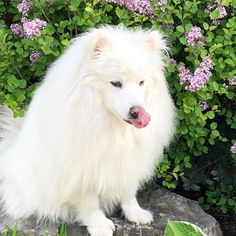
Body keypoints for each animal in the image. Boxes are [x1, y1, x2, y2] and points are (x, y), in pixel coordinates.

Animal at [0, 26, 175, 236]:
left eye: (141, 82)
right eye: (116, 83)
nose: (137, 111)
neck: (110, 125)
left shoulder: (128, 162)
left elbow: (128, 193)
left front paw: (136, 214)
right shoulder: (81, 169)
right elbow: (89, 203)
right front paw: (99, 225)